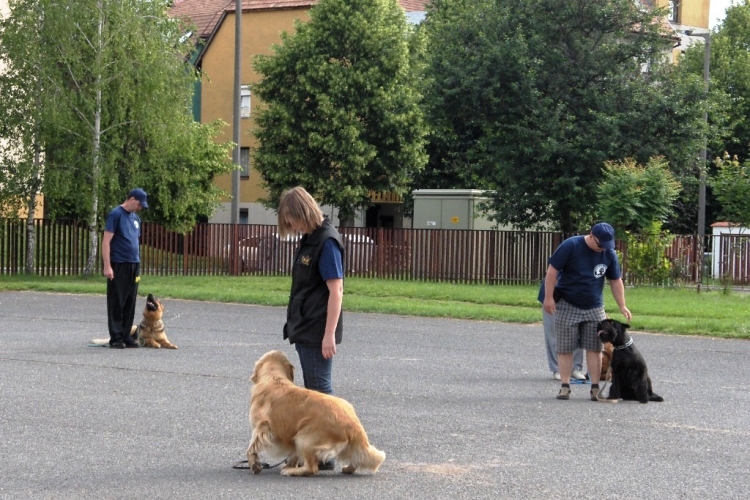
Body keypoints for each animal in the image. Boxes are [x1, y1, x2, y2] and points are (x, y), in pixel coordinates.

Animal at [248, 350, 388, 474]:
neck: (274, 378)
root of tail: (353, 425)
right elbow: (294, 454)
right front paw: (289, 463)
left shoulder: (262, 427)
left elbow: (251, 448)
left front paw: (254, 464)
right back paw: (348, 469)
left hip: (303, 438)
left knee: (312, 468)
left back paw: (291, 471)